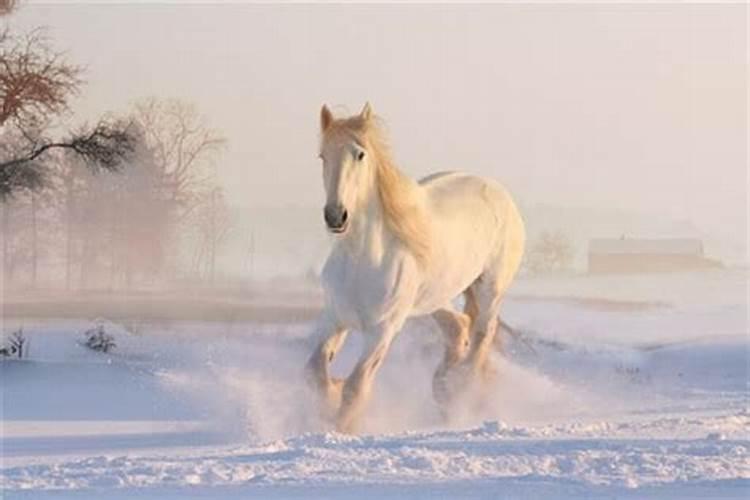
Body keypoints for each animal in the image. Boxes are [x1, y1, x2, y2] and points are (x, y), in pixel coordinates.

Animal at [308, 102, 524, 434]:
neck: (362, 260)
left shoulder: (382, 331)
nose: (336, 216)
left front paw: (341, 427)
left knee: (480, 338)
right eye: (323, 156)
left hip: (490, 290)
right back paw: (443, 387)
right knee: (458, 327)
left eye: (360, 154)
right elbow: (316, 371)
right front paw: (331, 396)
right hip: (434, 298)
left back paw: (458, 392)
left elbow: (356, 387)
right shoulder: (334, 318)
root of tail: (498, 192)